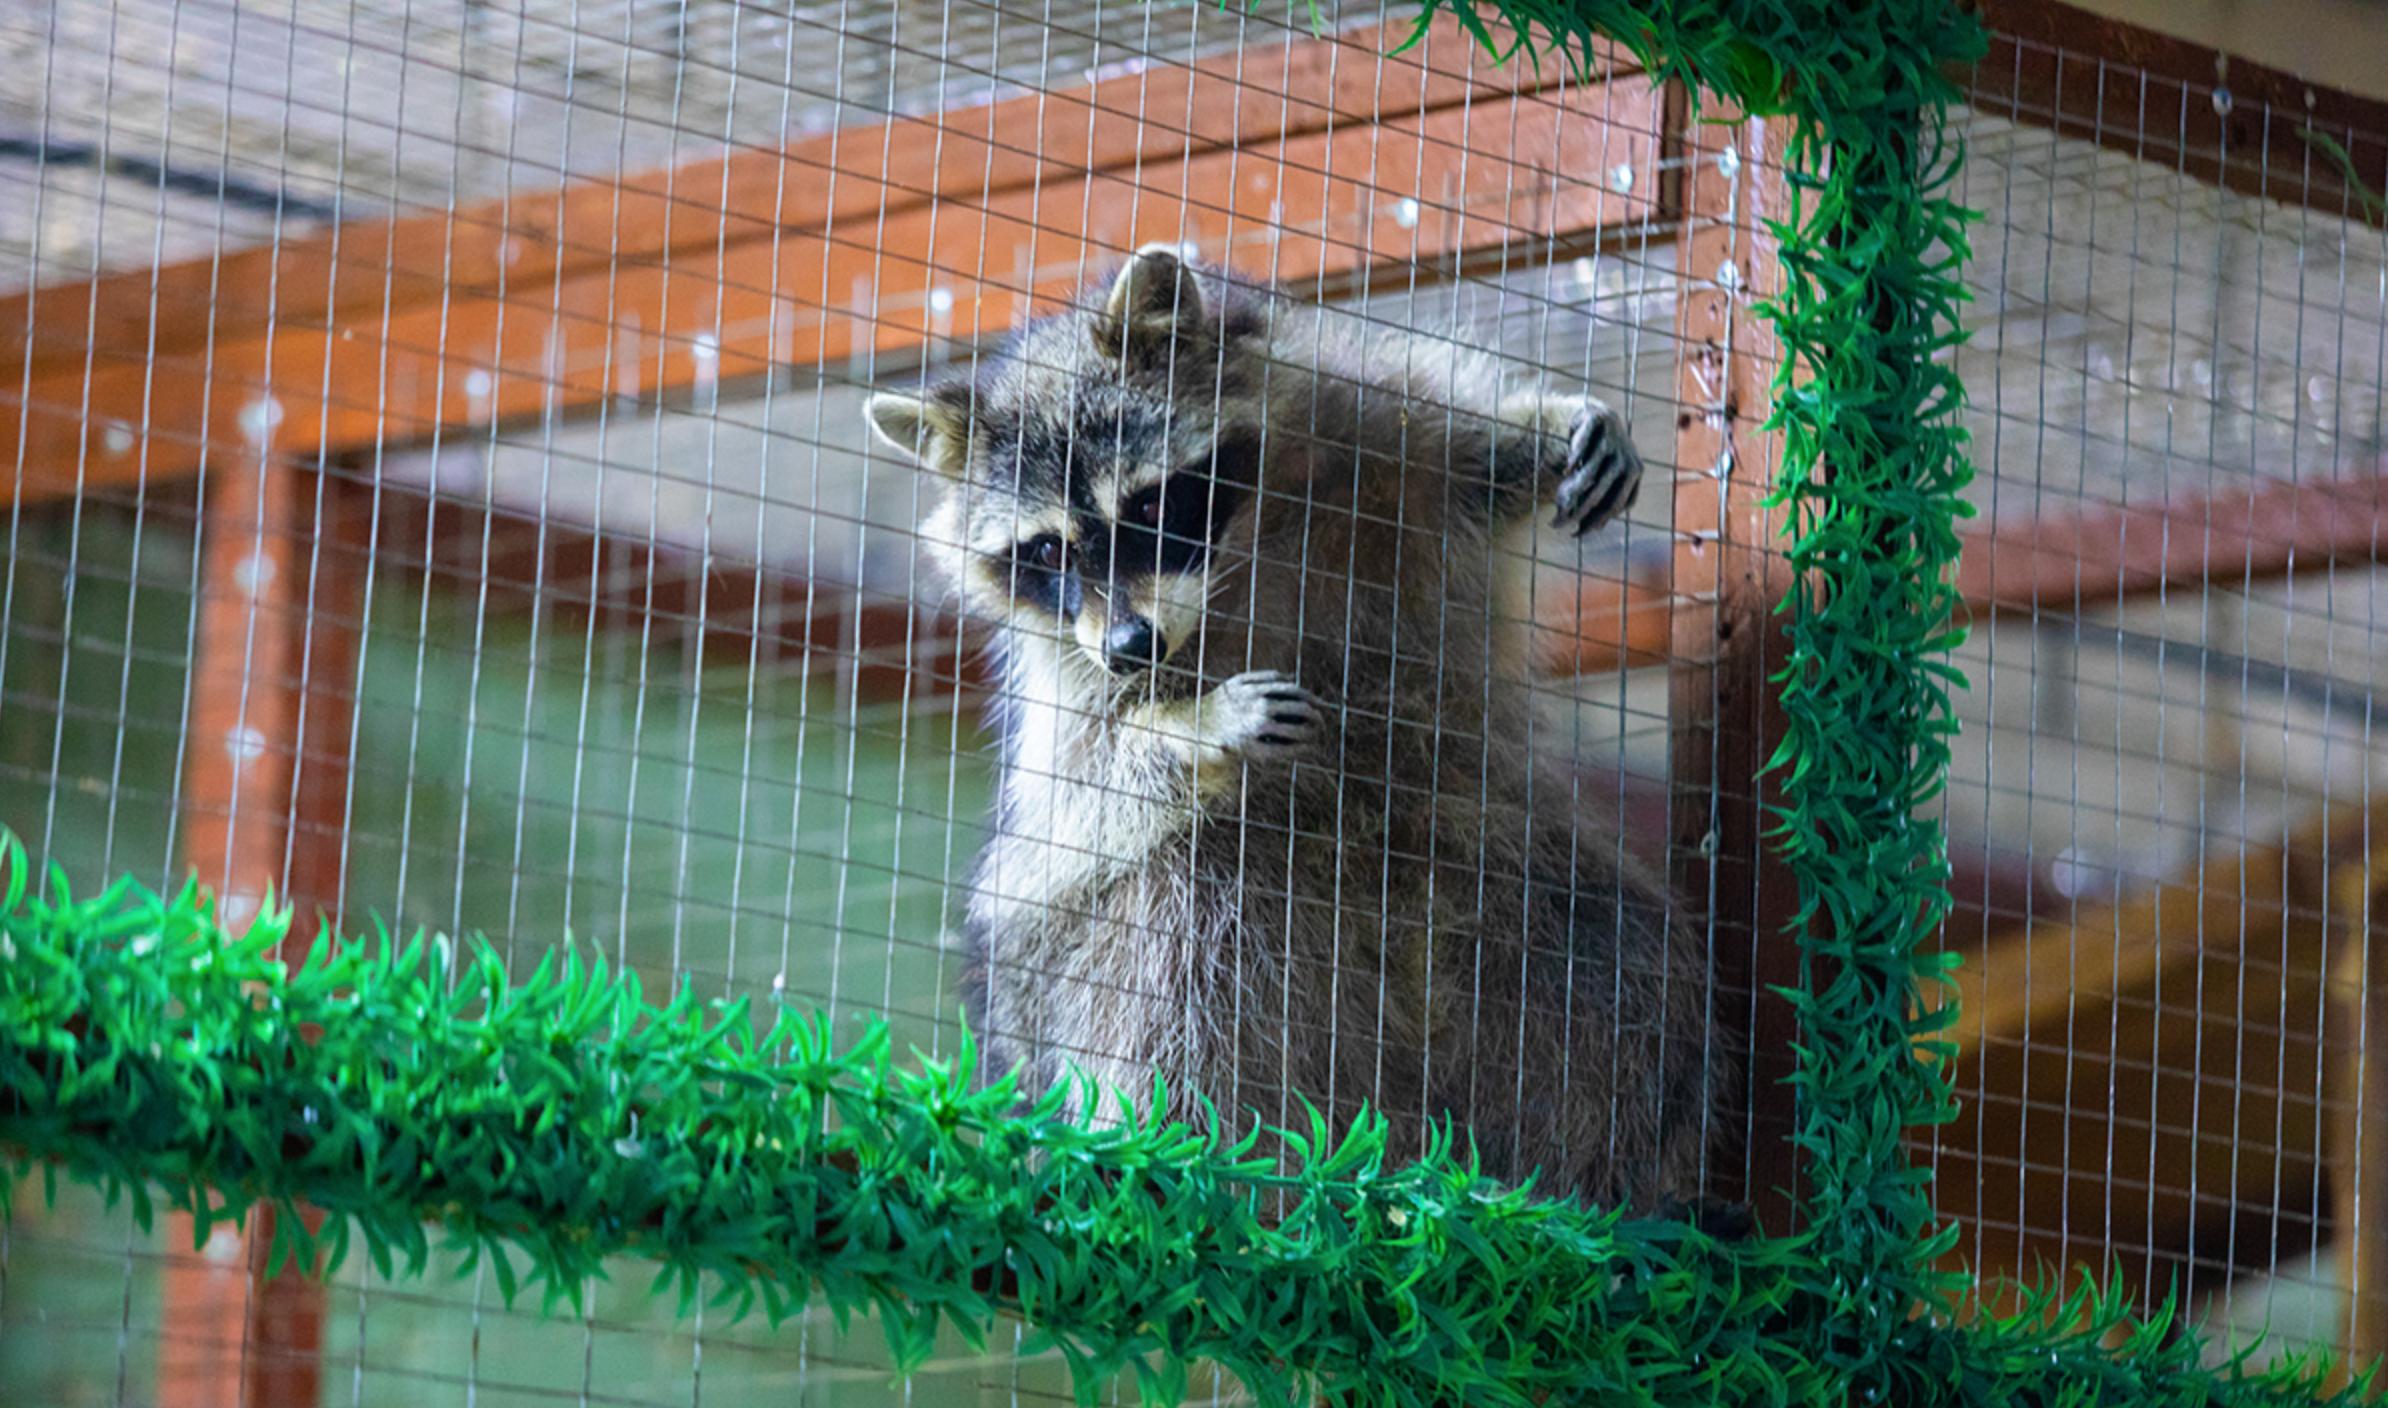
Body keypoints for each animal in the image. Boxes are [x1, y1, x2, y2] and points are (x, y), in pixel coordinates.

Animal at [869, 245, 1728, 1212]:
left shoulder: (1367, 428)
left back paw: (1578, 1195)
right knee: (1180, 920)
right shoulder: (1068, 675)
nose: (1133, 646)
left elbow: (1467, 461)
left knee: (1623, 970)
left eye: (1149, 506)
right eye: (1047, 551)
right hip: (1072, 1005)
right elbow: (1073, 809)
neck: (1238, 555)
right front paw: (1190, 724)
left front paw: (1547, 430)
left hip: (1488, 871)